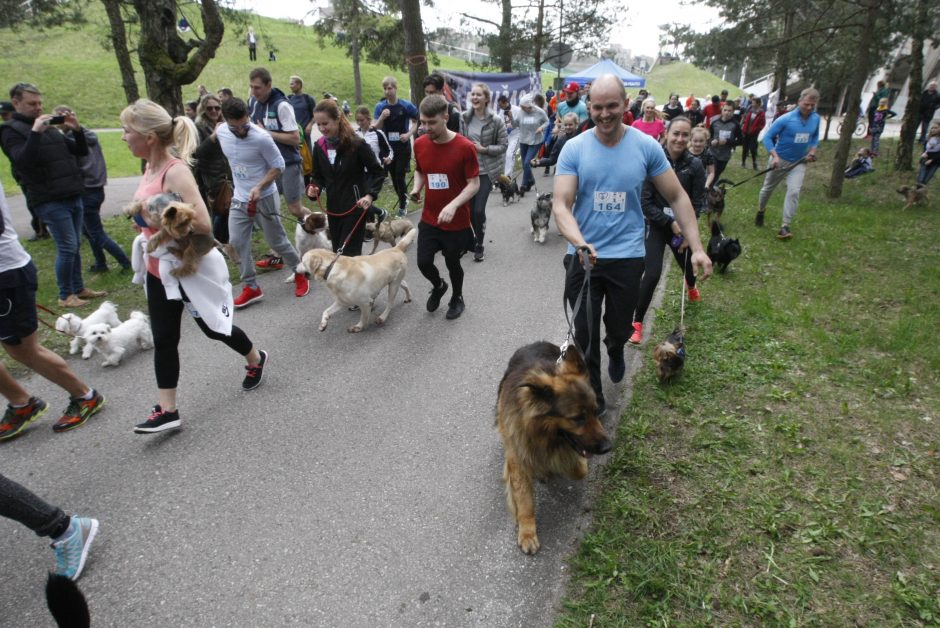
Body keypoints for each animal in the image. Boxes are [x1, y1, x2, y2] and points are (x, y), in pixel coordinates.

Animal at [496, 340, 612, 552]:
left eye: (594, 411)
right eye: (578, 418)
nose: (608, 447)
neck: (543, 435)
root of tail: (534, 343)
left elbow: (578, 470)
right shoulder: (518, 454)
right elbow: (524, 499)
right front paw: (527, 532)